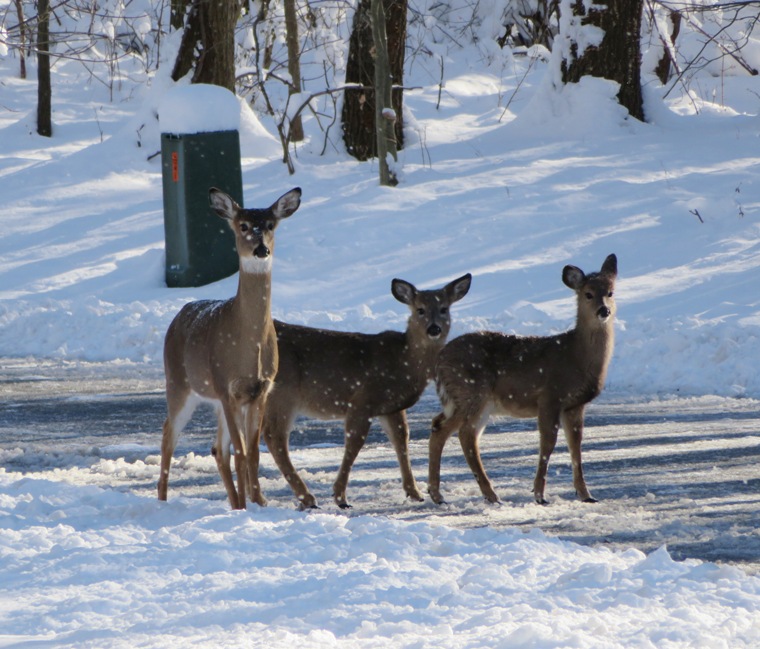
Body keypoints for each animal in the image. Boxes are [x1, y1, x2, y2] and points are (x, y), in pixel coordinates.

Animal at [156, 185, 302, 508]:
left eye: (270, 224)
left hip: (216, 401)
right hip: (180, 384)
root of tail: (178, 316)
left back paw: (235, 502)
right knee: (168, 433)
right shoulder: (227, 386)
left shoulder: (260, 390)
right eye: (243, 225)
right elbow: (242, 452)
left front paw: (258, 502)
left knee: (217, 448)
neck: (249, 344)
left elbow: (253, 452)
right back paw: (162, 499)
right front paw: (250, 504)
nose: (261, 249)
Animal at [232, 270, 470, 508]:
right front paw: (340, 496)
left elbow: (401, 439)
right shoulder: (363, 400)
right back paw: (306, 497)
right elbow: (355, 443)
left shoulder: (391, 407)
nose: (434, 328)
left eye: (444, 308)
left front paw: (415, 492)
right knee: (274, 436)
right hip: (284, 393)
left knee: (253, 436)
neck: (405, 361)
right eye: (420, 309)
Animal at [428, 253, 616, 506]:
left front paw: (586, 495)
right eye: (588, 294)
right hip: (472, 392)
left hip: (468, 400)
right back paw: (480, 494)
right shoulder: (550, 396)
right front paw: (539, 495)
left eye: (611, 292)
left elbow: (576, 446)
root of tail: (440, 360)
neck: (575, 356)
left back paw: (443, 493)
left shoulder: (575, 405)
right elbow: (548, 443)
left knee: (445, 427)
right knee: (458, 433)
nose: (603, 311)